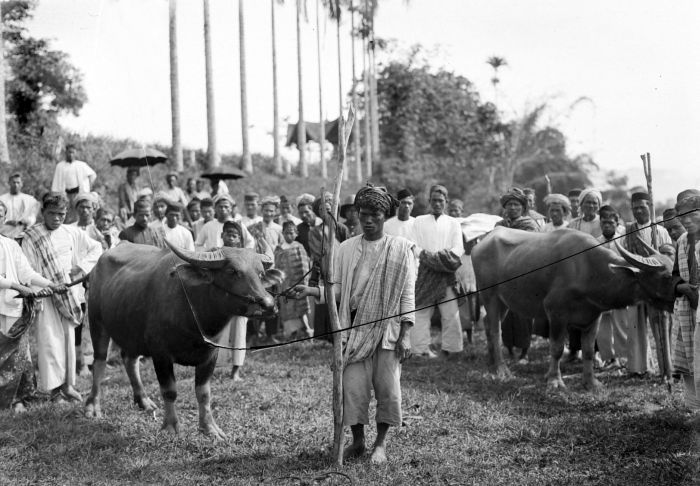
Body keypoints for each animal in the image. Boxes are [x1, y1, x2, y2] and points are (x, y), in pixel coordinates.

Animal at [87, 241, 282, 438]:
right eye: (232, 271)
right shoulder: (161, 354)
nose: (268, 305)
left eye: (260, 273)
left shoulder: (210, 355)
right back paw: (93, 406)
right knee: (99, 363)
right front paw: (171, 426)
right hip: (97, 323)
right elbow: (169, 391)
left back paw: (144, 401)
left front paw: (210, 428)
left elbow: (204, 393)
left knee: (129, 360)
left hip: (131, 332)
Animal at [474, 227, 676, 392]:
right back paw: (502, 370)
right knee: (495, 330)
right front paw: (554, 381)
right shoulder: (555, 313)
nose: (681, 290)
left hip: (503, 302)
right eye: (666, 276)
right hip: (490, 296)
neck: (587, 269)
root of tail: (482, 242)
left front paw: (591, 383)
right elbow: (556, 349)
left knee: (487, 324)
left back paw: (491, 364)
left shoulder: (594, 316)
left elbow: (588, 351)